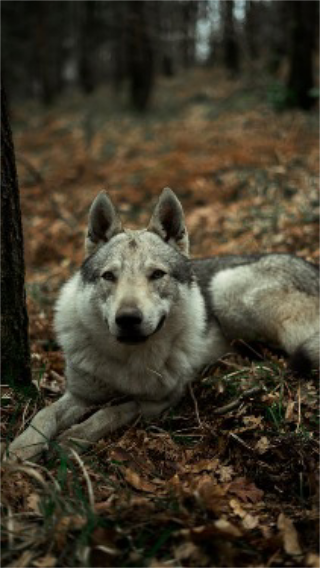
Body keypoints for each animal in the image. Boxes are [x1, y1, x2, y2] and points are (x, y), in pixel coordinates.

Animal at [8, 189, 320, 460]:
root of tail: (310, 265)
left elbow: (110, 412)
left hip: (227, 292)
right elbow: (45, 414)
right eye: (109, 276)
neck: (127, 361)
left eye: (157, 274)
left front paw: (70, 441)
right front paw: (22, 448)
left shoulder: (158, 400)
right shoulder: (80, 394)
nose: (128, 318)